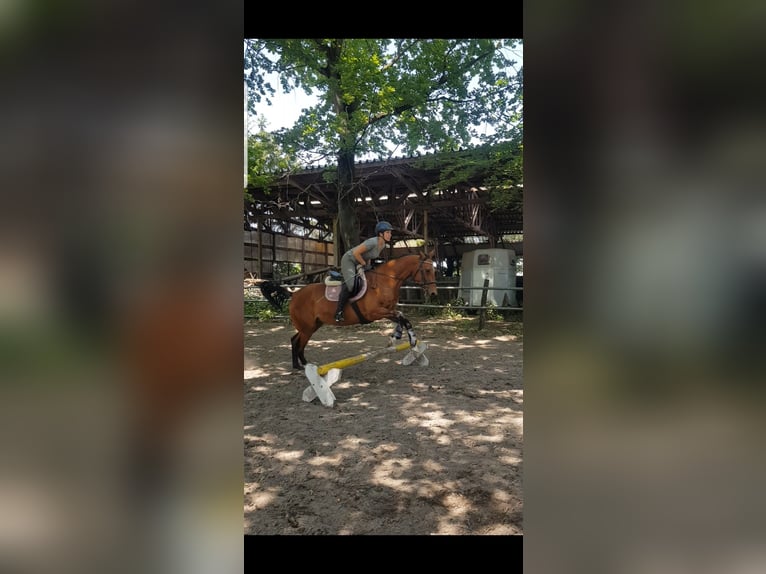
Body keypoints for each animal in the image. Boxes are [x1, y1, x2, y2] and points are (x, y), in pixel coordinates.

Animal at [292, 251, 440, 368]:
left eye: (434, 271)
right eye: (427, 270)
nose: (433, 293)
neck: (385, 281)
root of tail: (295, 294)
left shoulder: (386, 311)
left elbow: (402, 318)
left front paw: (397, 338)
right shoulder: (374, 313)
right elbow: (401, 315)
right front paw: (408, 340)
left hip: (313, 325)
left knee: (296, 340)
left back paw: (301, 365)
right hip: (307, 327)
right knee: (299, 342)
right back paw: (303, 366)